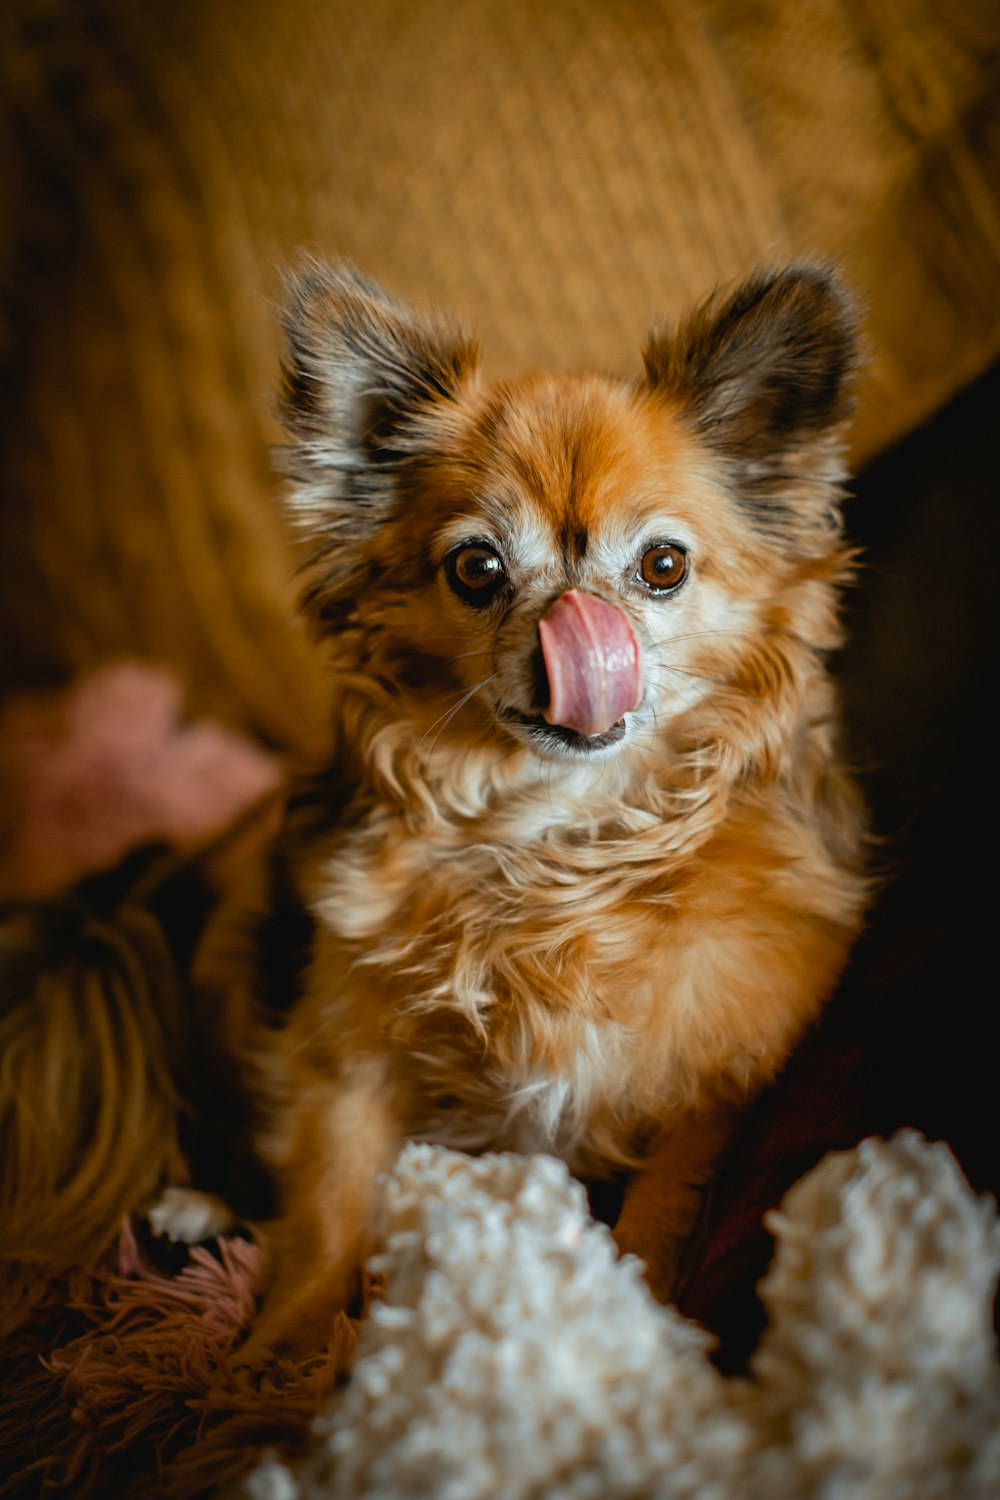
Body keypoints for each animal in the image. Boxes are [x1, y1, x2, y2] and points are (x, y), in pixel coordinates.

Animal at [239, 261, 869, 1362]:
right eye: (477, 568)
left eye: (662, 566)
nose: (572, 636)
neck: (555, 840)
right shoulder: (341, 1059)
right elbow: (329, 1210)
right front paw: (277, 1358)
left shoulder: (706, 1087)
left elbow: (662, 1211)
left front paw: (644, 1321)